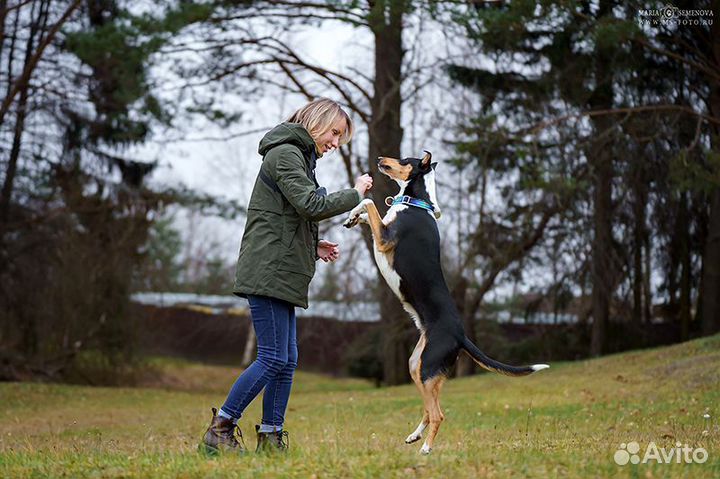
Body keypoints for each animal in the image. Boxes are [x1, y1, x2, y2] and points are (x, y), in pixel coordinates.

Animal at [340, 152, 548, 456]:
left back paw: (425, 449)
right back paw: (415, 436)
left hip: (427, 367)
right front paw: (352, 217)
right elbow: (367, 210)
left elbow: (369, 203)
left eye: (405, 159)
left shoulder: (386, 237)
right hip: (419, 366)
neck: (416, 203)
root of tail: (461, 335)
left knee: (438, 413)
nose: (379, 158)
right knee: (430, 409)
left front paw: (357, 211)